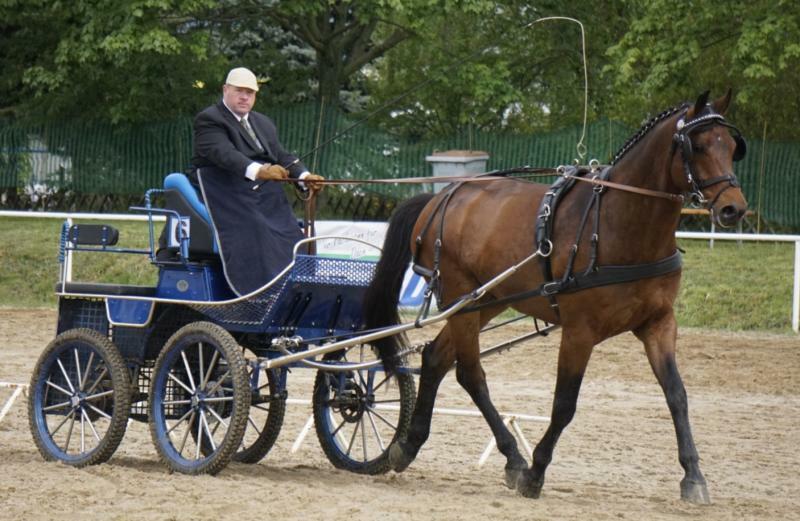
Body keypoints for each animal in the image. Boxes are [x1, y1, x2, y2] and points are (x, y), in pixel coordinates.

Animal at [364, 91, 752, 502]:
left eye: (731, 147)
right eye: (697, 146)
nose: (733, 208)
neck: (619, 223)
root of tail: (443, 196)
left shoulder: (658, 323)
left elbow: (676, 394)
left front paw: (693, 475)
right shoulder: (580, 332)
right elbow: (564, 404)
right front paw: (535, 472)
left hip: (485, 301)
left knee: (436, 358)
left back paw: (409, 445)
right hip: (462, 299)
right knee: (470, 373)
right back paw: (512, 457)